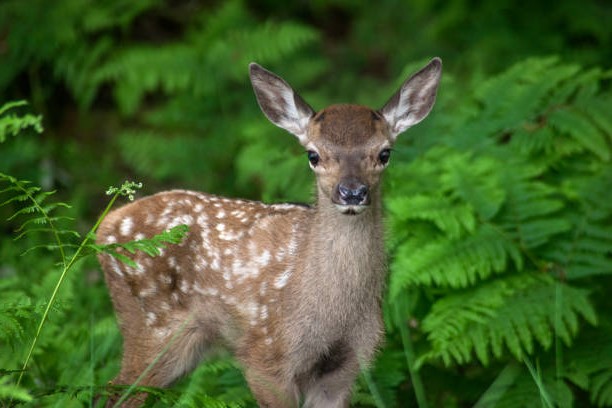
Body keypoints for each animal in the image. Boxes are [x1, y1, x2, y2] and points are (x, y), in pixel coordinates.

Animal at [95, 58, 442, 408]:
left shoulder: (348, 363)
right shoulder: (266, 354)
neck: (335, 315)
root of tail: (106, 225)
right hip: (152, 324)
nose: (352, 192)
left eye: (384, 153)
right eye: (313, 155)